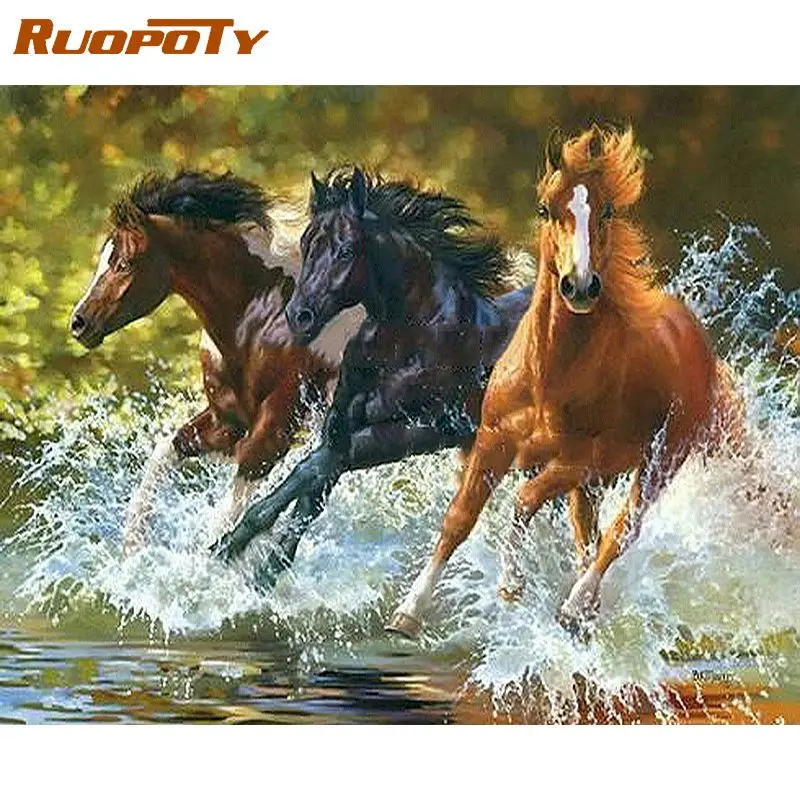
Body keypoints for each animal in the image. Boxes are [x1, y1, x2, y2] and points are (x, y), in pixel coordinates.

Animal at [70, 171, 362, 553]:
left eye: (123, 263)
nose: (79, 323)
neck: (260, 321)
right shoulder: (227, 420)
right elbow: (166, 452)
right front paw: (133, 551)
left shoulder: (273, 431)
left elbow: (231, 514)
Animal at [209, 167, 534, 579]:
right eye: (306, 243)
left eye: (346, 250)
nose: (299, 316)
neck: (412, 337)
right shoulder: (342, 425)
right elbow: (312, 493)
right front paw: (258, 570)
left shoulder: (416, 431)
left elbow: (309, 470)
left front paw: (229, 546)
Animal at [387, 125, 745, 638]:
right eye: (545, 209)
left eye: (608, 210)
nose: (579, 286)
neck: (548, 377)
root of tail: (697, 340)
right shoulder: (494, 441)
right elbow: (459, 518)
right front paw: (409, 611)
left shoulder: (582, 459)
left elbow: (524, 500)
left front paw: (510, 585)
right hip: (591, 484)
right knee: (588, 536)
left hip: (658, 460)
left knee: (621, 531)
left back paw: (575, 606)